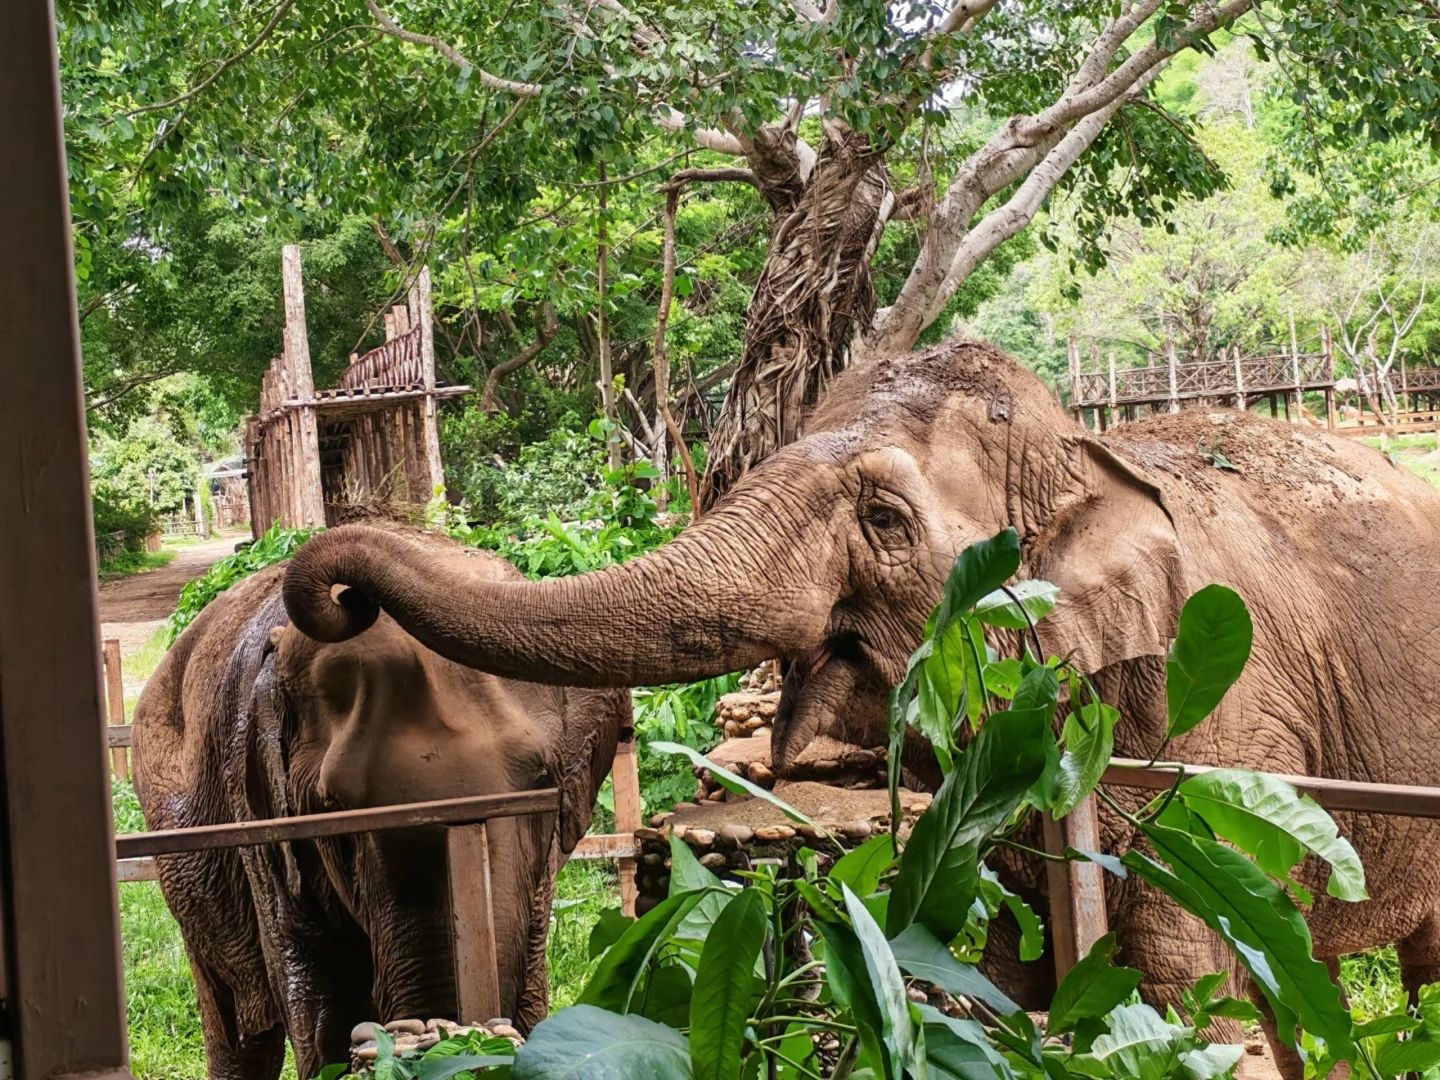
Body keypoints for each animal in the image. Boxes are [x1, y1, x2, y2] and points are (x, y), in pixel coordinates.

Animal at [131, 525, 629, 1080]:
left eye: (543, 778)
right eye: (332, 805)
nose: (350, 596)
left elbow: (532, 980)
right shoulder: (259, 822)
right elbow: (318, 998)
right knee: (238, 1025)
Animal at [284, 338, 1440, 1077]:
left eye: (884, 518)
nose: (335, 593)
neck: (1087, 456)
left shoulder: (1222, 740)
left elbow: (1186, 993)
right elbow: (1007, 981)